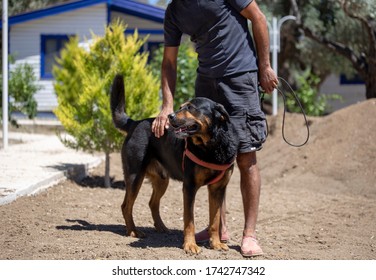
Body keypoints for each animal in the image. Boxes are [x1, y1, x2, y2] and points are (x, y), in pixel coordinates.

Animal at [110, 74, 238, 254]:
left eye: (191, 108)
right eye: (180, 107)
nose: (170, 116)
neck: (212, 146)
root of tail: (135, 123)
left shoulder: (218, 189)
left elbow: (215, 220)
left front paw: (216, 244)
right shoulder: (189, 187)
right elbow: (189, 220)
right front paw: (190, 245)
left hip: (162, 180)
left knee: (152, 203)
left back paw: (161, 227)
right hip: (135, 177)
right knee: (126, 205)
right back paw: (133, 231)